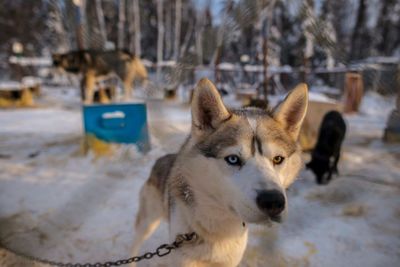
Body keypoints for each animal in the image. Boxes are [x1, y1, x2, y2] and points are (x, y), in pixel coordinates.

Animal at [132, 78, 310, 266]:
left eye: (278, 159)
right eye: (233, 159)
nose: (273, 202)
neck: (219, 230)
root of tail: (163, 158)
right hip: (147, 223)